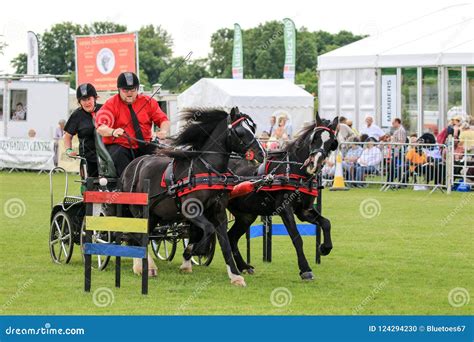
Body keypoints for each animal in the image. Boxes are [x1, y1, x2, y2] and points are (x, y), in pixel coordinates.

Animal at [120, 107, 264, 286]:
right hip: (141, 212)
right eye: (241, 132)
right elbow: (208, 229)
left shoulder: (219, 213)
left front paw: (235, 275)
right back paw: (144, 267)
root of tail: (130, 167)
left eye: (252, 128)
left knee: (142, 236)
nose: (262, 154)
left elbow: (224, 242)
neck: (206, 171)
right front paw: (194, 250)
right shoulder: (191, 210)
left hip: (154, 214)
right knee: (138, 236)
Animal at [226, 116, 336, 280]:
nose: (314, 164)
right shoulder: (285, 209)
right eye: (314, 138)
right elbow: (297, 237)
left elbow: (326, 223)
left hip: (246, 215)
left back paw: (243, 267)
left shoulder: (304, 211)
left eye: (331, 143)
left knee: (231, 237)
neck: (294, 171)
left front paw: (324, 248)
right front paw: (305, 269)